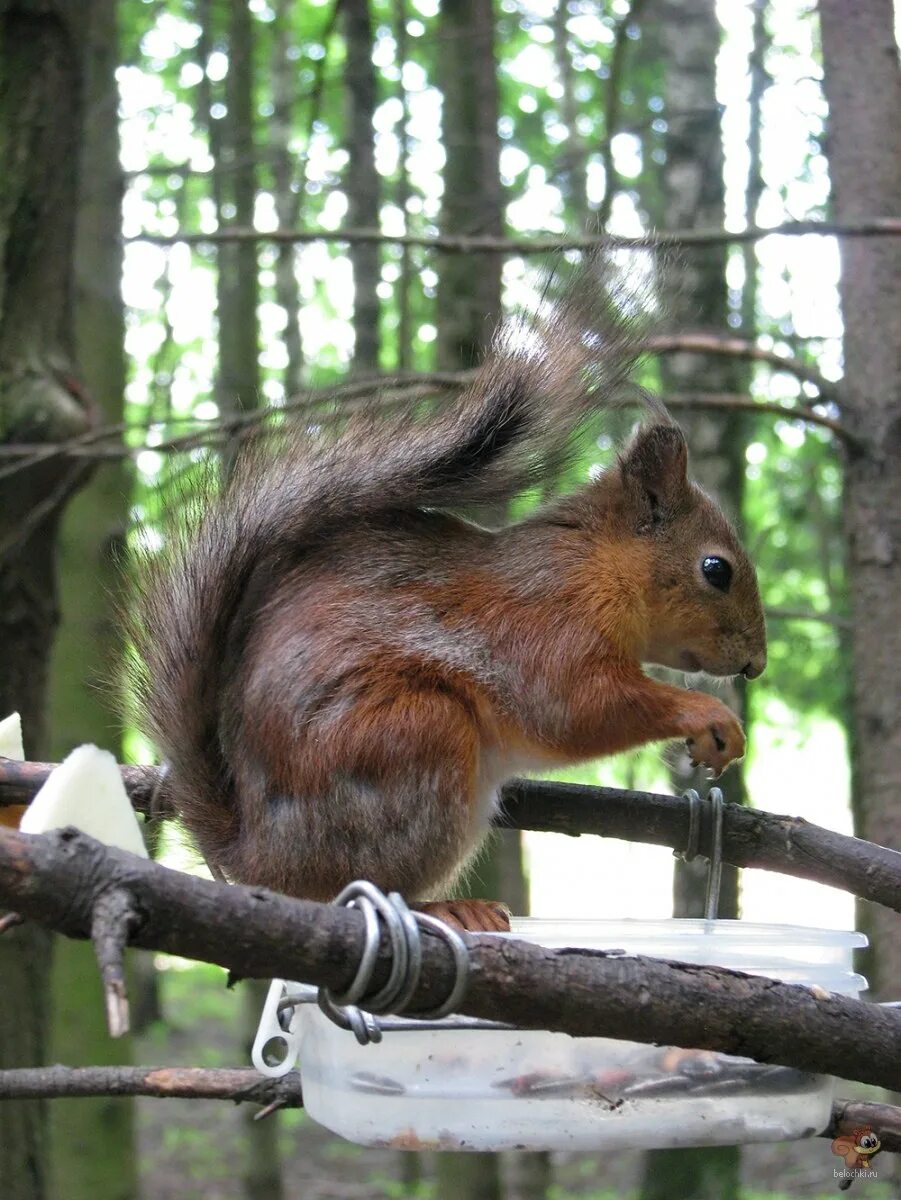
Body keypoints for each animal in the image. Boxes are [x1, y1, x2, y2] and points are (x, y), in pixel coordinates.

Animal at [131, 265, 767, 936]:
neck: (597, 564)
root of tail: (260, 856)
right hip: (416, 739)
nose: (756, 665)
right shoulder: (549, 620)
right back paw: (441, 906)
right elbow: (578, 705)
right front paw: (709, 715)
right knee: (355, 885)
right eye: (716, 569)